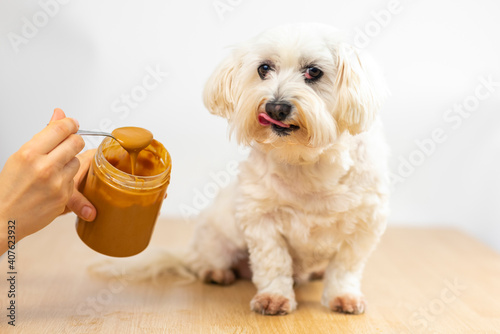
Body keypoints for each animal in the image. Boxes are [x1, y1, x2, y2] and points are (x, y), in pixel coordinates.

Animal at [184, 22, 390, 314]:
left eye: (313, 71)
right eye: (264, 68)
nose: (276, 107)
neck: (306, 159)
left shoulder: (366, 223)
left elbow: (345, 267)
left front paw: (343, 296)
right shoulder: (261, 219)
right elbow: (274, 262)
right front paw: (274, 297)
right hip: (217, 238)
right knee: (199, 258)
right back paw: (215, 272)